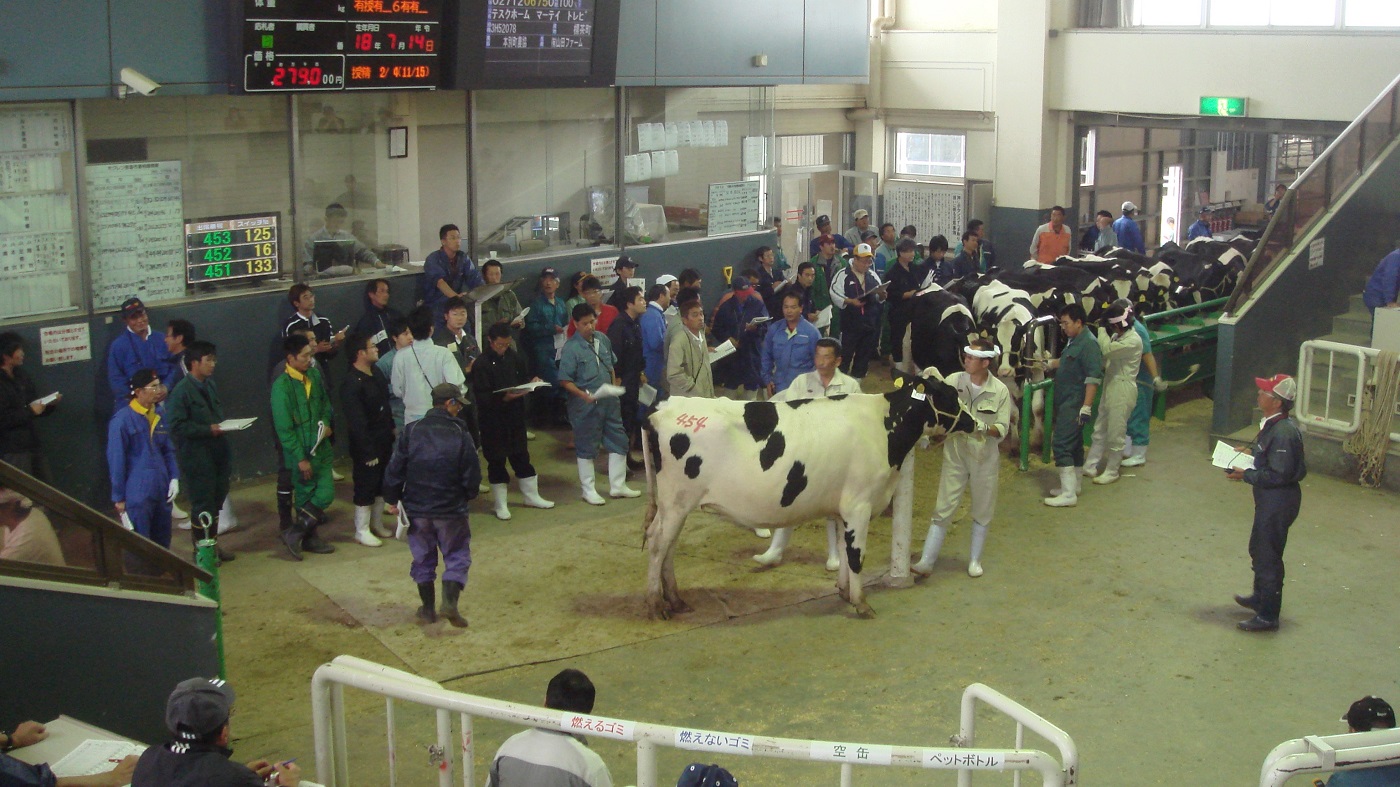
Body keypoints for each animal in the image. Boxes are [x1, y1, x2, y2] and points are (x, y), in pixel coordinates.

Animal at [641, 372, 974, 618]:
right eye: (950, 395)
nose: (972, 422)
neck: (884, 426)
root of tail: (663, 406)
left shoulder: (842, 508)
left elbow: (843, 550)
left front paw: (844, 592)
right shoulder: (859, 505)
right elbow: (855, 555)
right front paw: (861, 602)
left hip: (677, 506)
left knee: (668, 546)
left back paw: (676, 600)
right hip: (675, 502)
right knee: (657, 544)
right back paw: (656, 605)